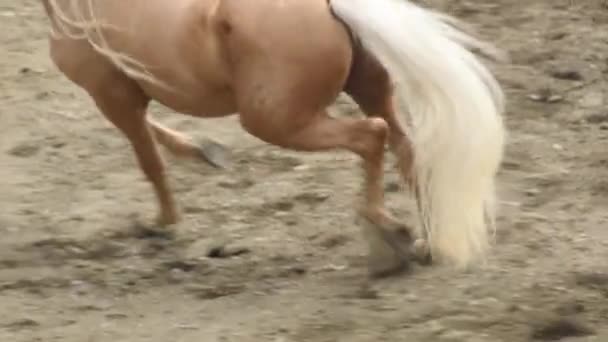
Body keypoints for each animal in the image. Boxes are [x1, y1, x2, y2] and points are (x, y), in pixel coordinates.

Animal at [40, 0, 508, 276]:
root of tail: (330, 6)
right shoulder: (127, 95)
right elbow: (155, 138)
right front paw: (203, 152)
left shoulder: (111, 94)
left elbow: (148, 159)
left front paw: (164, 223)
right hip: (369, 91)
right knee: (409, 152)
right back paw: (427, 243)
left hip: (278, 122)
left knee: (371, 137)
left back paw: (385, 231)